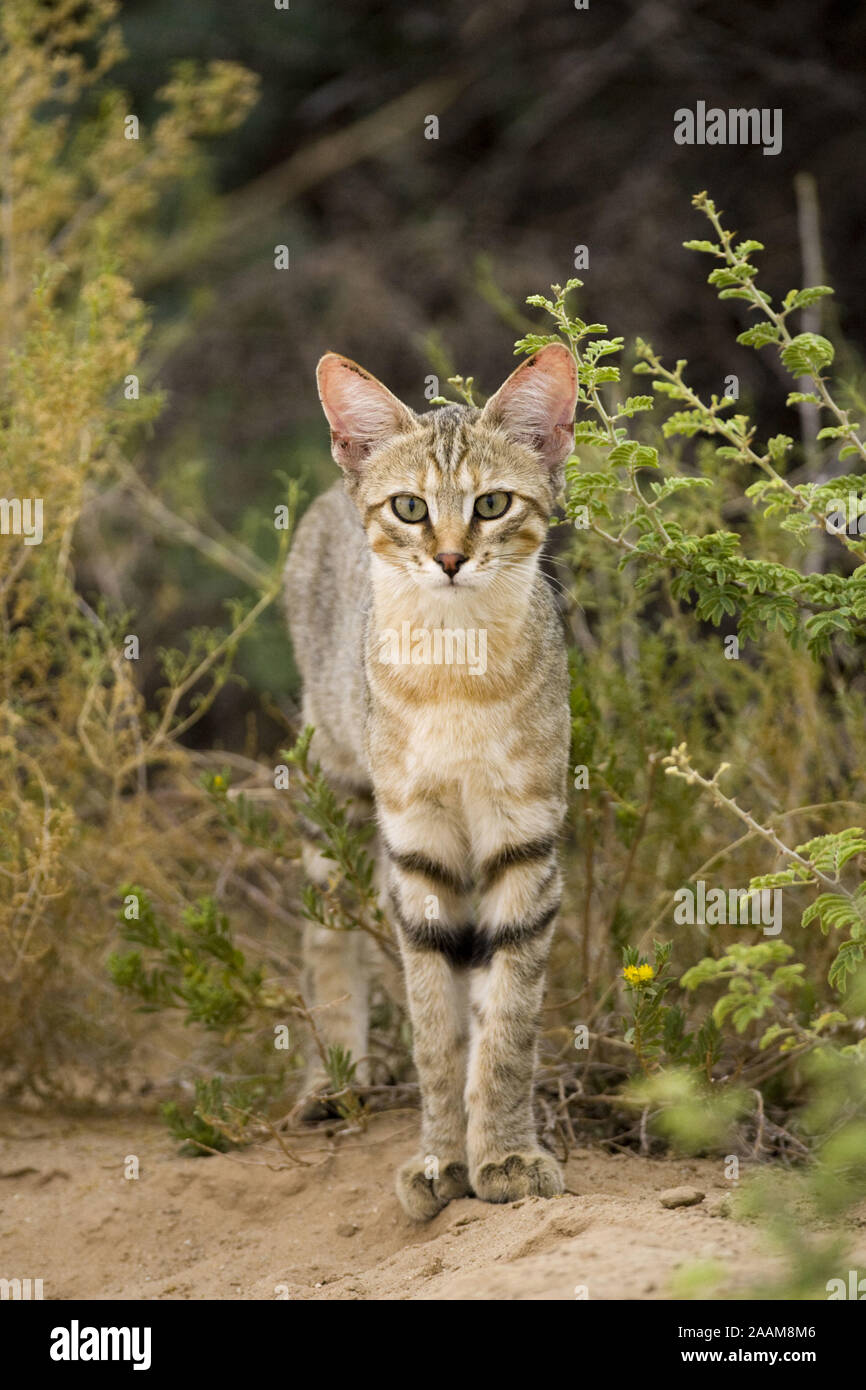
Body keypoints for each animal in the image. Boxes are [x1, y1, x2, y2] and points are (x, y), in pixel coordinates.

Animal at [287, 344, 578, 1217]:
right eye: (411, 508)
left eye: (492, 503)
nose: (450, 558)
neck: (458, 670)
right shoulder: (417, 852)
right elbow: (435, 1034)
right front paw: (441, 1159)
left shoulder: (524, 843)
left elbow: (506, 1025)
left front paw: (505, 1154)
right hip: (333, 790)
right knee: (329, 942)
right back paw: (333, 1080)